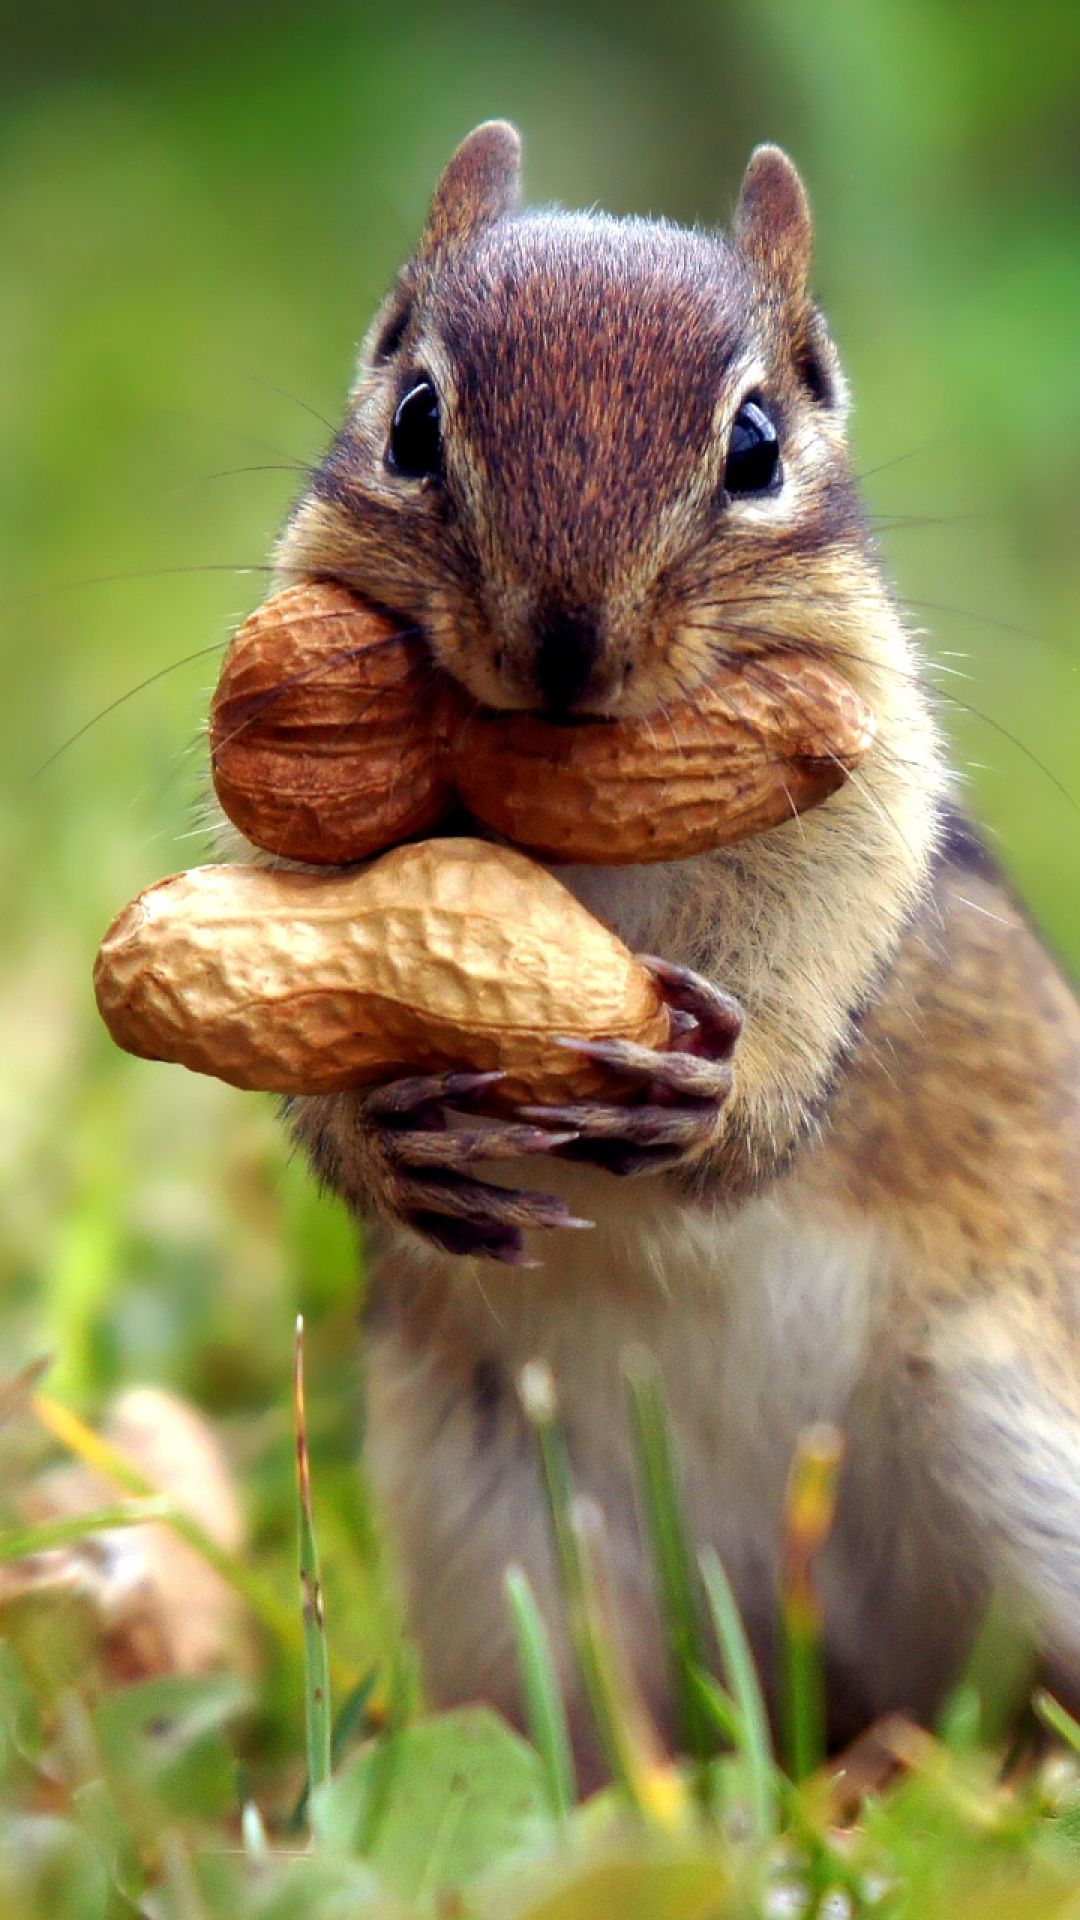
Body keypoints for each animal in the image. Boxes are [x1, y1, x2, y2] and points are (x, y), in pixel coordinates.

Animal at [243, 121, 1080, 1756]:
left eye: (756, 447)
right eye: (413, 420)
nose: (566, 648)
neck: (574, 820)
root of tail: (803, 1665)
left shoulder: (865, 808)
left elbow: (811, 987)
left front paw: (720, 1100)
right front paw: (384, 1137)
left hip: (1026, 1467)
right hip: (506, 1545)